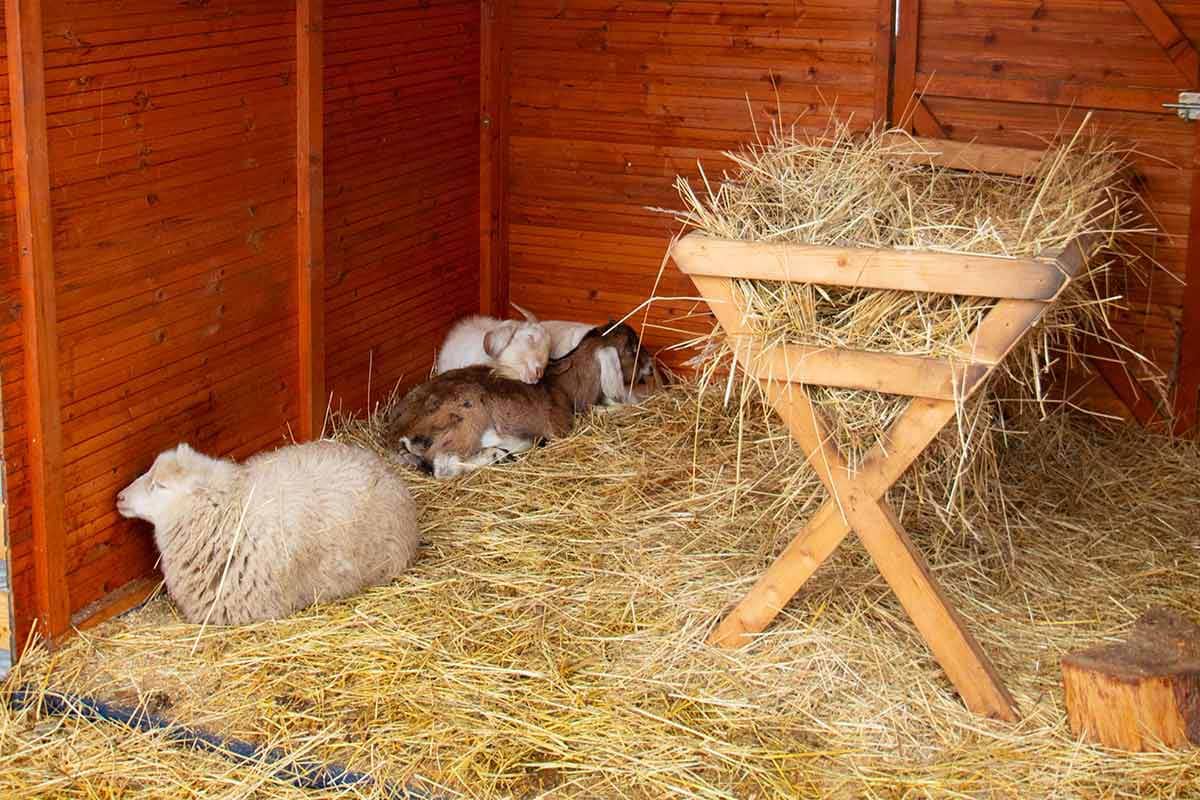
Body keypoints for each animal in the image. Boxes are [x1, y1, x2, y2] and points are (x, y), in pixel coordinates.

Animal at [387, 322, 652, 478]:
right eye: (631, 349)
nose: (651, 366)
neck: (563, 386)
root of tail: (399, 431)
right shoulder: (559, 429)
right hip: (468, 417)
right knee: (443, 465)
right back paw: (498, 455)